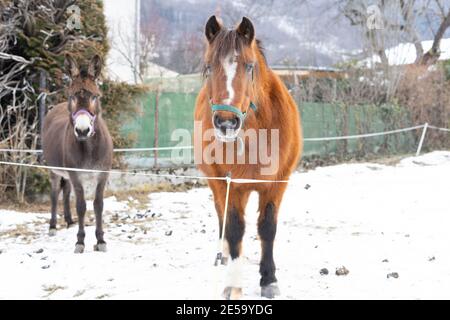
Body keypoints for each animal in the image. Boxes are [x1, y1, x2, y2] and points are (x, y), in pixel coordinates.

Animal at [42, 55, 113, 254]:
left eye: (95, 96)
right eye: (72, 96)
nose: (82, 130)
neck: (88, 147)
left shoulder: (102, 175)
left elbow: (98, 205)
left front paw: (101, 240)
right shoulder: (76, 175)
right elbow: (81, 206)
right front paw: (80, 242)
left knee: (66, 191)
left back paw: (69, 221)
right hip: (54, 170)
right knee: (55, 193)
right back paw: (53, 226)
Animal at [193, 16, 302, 298]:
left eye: (249, 66)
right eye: (208, 67)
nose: (226, 122)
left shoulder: (277, 184)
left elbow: (267, 227)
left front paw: (269, 279)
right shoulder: (229, 185)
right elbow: (233, 228)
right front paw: (233, 284)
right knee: (222, 215)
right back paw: (224, 255)